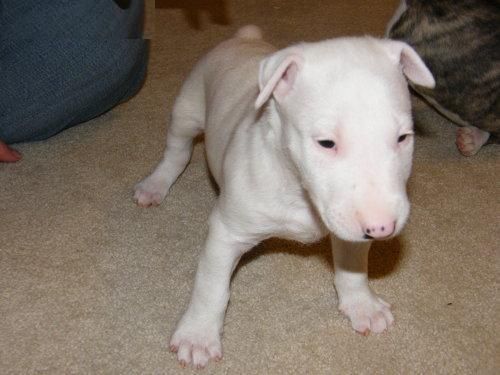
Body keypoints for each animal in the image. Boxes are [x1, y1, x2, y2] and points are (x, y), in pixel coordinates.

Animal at [133, 25, 434, 368]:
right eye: (326, 142)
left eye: (403, 137)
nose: (382, 229)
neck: (298, 187)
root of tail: (245, 38)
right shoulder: (227, 232)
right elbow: (211, 286)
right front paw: (197, 336)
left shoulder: (348, 224)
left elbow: (353, 264)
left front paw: (363, 305)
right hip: (188, 107)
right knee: (177, 151)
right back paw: (155, 184)